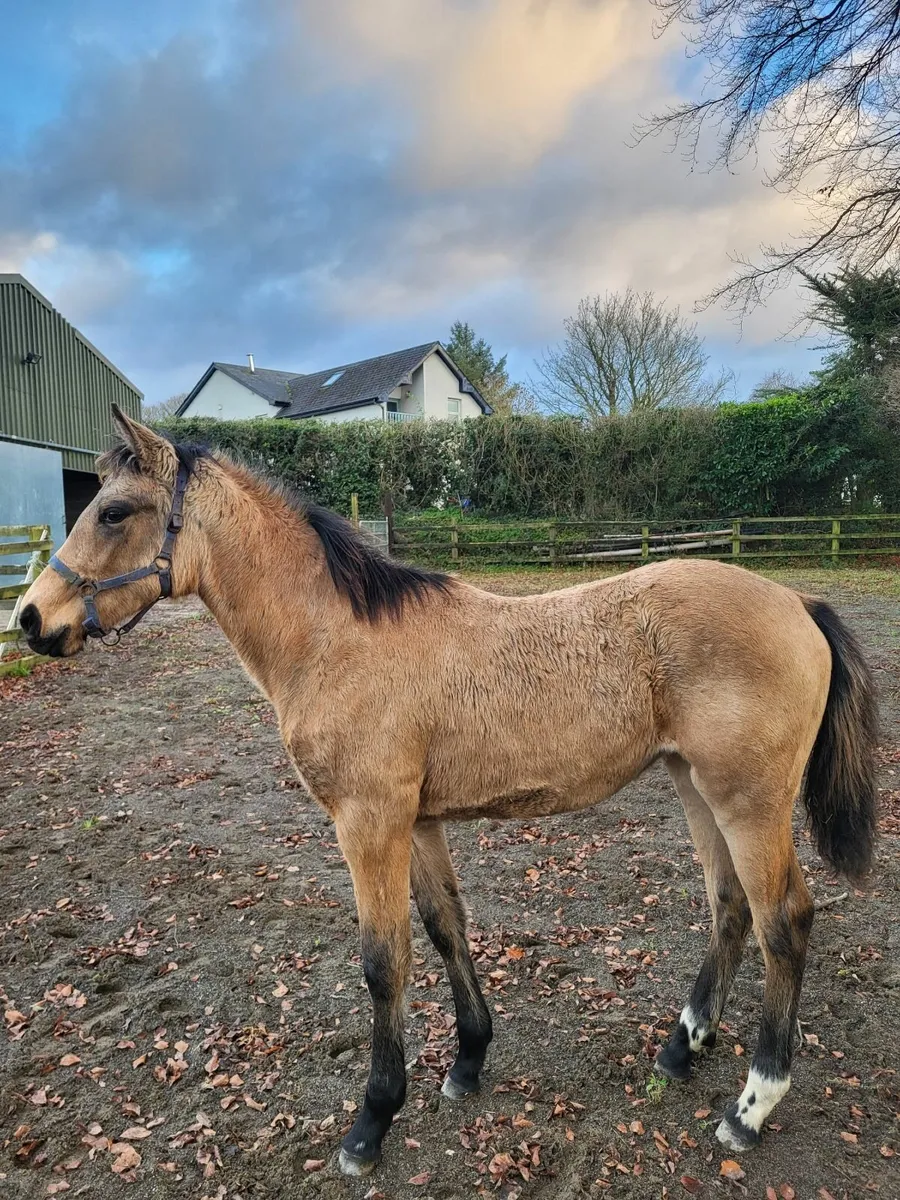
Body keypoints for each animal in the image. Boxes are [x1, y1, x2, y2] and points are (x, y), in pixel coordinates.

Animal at [20, 408, 878, 1176]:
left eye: (114, 512)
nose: (31, 618)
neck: (336, 639)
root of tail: (798, 602)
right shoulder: (417, 819)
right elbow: (445, 928)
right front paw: (468, 1060)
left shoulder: (367, 821)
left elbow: (383, 960)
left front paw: (372, 1120)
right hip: (695, 785)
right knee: (729, 907)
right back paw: (680, 1048)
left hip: (749, 801)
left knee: (784, 922)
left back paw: (752, 1105)